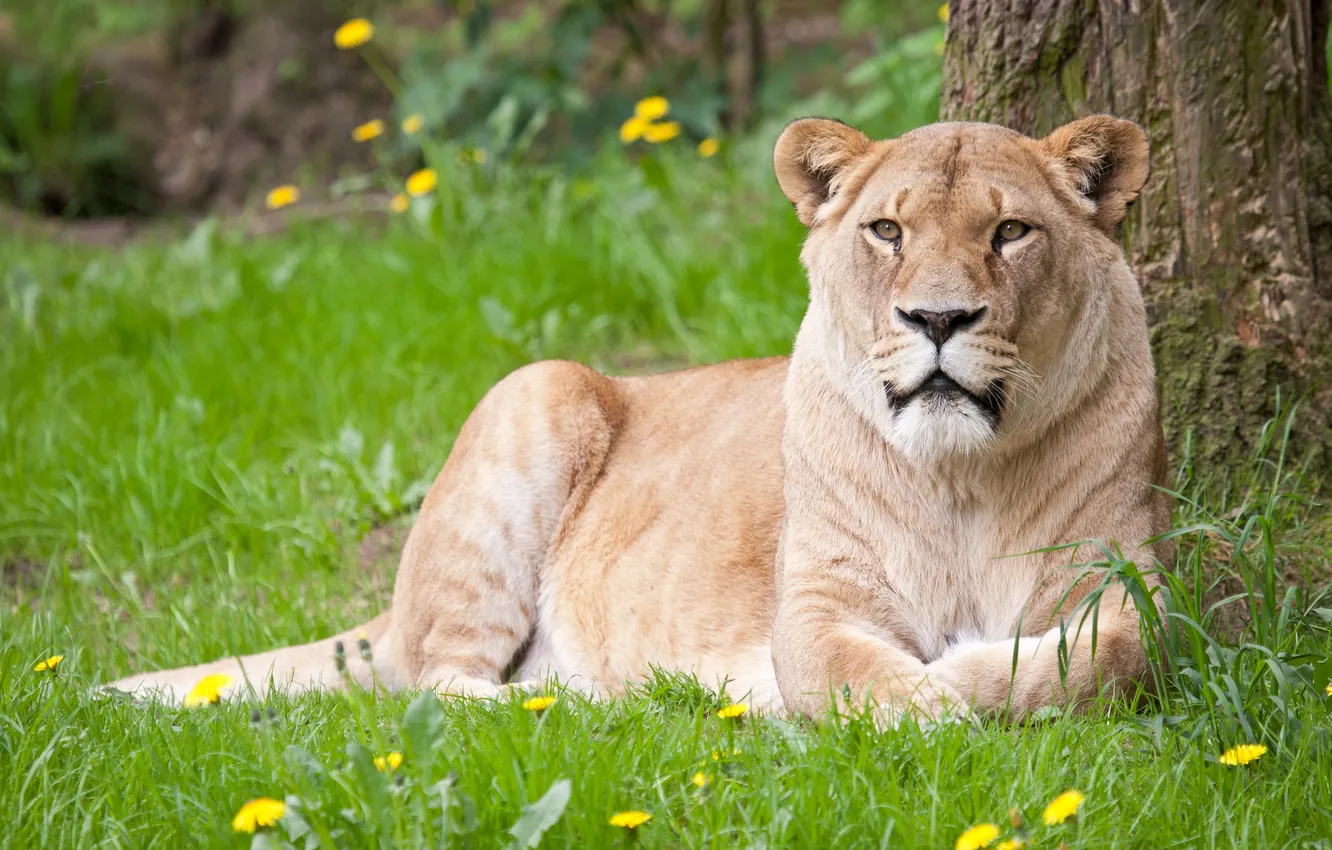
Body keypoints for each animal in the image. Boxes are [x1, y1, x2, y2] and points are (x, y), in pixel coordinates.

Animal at [107, 114, 1173, 721]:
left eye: (1010, 231)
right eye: (887, 230)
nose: (939, 320)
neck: (962, 474)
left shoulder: (1126, 582)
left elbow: (1099, 659)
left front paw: (974, 667)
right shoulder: (815, 605)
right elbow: (858, 676)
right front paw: (917, 690)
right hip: (537, 390)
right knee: (435, 688)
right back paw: (570, 703)